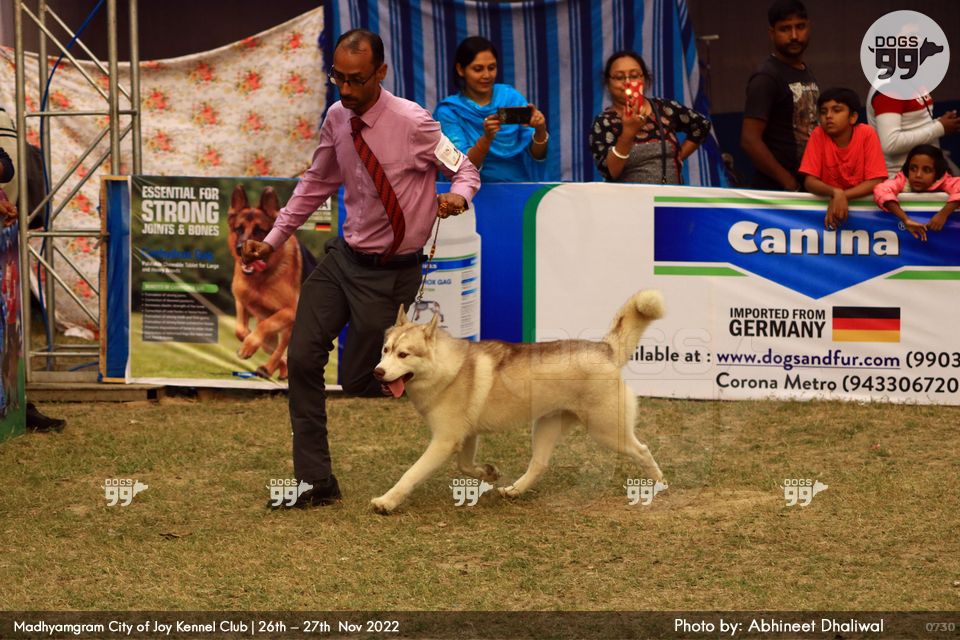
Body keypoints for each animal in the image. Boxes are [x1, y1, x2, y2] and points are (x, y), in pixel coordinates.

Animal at [227, 185, 315, 379]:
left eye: (259, 230)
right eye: (239, 229)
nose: (240, 249)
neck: (261, 278)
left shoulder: (290, 312)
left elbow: (265, 326)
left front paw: (249, 346)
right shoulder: (241, 302)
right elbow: (240, 330)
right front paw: (248, 340)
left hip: (291, 329)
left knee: (280, 348)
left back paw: (268, 368)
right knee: (273, 348)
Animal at [370, 289, 666, 514]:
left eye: (404, 354)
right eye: (385, 350)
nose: (378, 372)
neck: (446, 368)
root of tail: (605, 348)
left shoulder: (445, 441)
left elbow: (411, 474)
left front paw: (386, 501)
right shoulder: (467, 436)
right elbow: (464, 466)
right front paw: (488, 473)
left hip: (607, 432)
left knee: (643, 450)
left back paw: (658, 483)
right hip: (546, 426)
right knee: (539, 464)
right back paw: (514, 490)